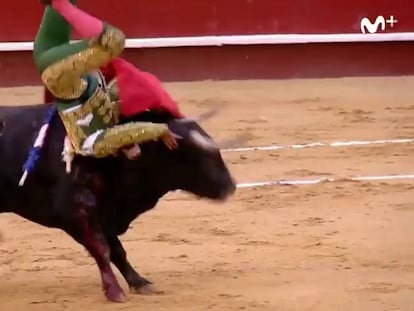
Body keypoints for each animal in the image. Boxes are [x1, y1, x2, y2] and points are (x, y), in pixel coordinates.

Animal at [0, 103, 236, 304]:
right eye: (191, 153)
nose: (230, 186)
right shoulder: (74, 214)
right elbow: (102, 250)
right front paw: (114, 292)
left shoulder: (104, 214)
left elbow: (118, 251)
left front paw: (140, 283)